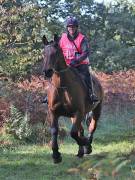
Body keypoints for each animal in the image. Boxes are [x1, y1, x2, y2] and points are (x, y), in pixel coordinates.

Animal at [42, 33, 103, 163]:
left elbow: (73, 133)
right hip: (73, 116)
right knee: (81, 130)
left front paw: (86, 144)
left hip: (96, 109)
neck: (62, 87)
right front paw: (56, 155)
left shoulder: (78, 112)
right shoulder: (53, 112)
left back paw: (87, 146)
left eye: (56, 53)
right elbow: (55, 130)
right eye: (44, 53)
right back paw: (81, 151)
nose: (47, 72)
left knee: (92, 127)